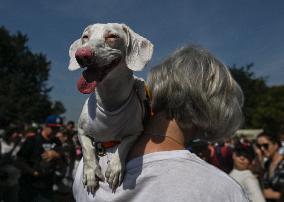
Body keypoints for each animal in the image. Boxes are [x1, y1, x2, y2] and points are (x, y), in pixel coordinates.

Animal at [68, 22, 153, 193]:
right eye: (85, 37)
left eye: (112, 36)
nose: (81, 55)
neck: (109, 102)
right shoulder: (80, 131)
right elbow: (87, 149)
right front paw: (90, 173)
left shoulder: (136, 132)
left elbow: (124, 146)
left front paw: (115, 168)